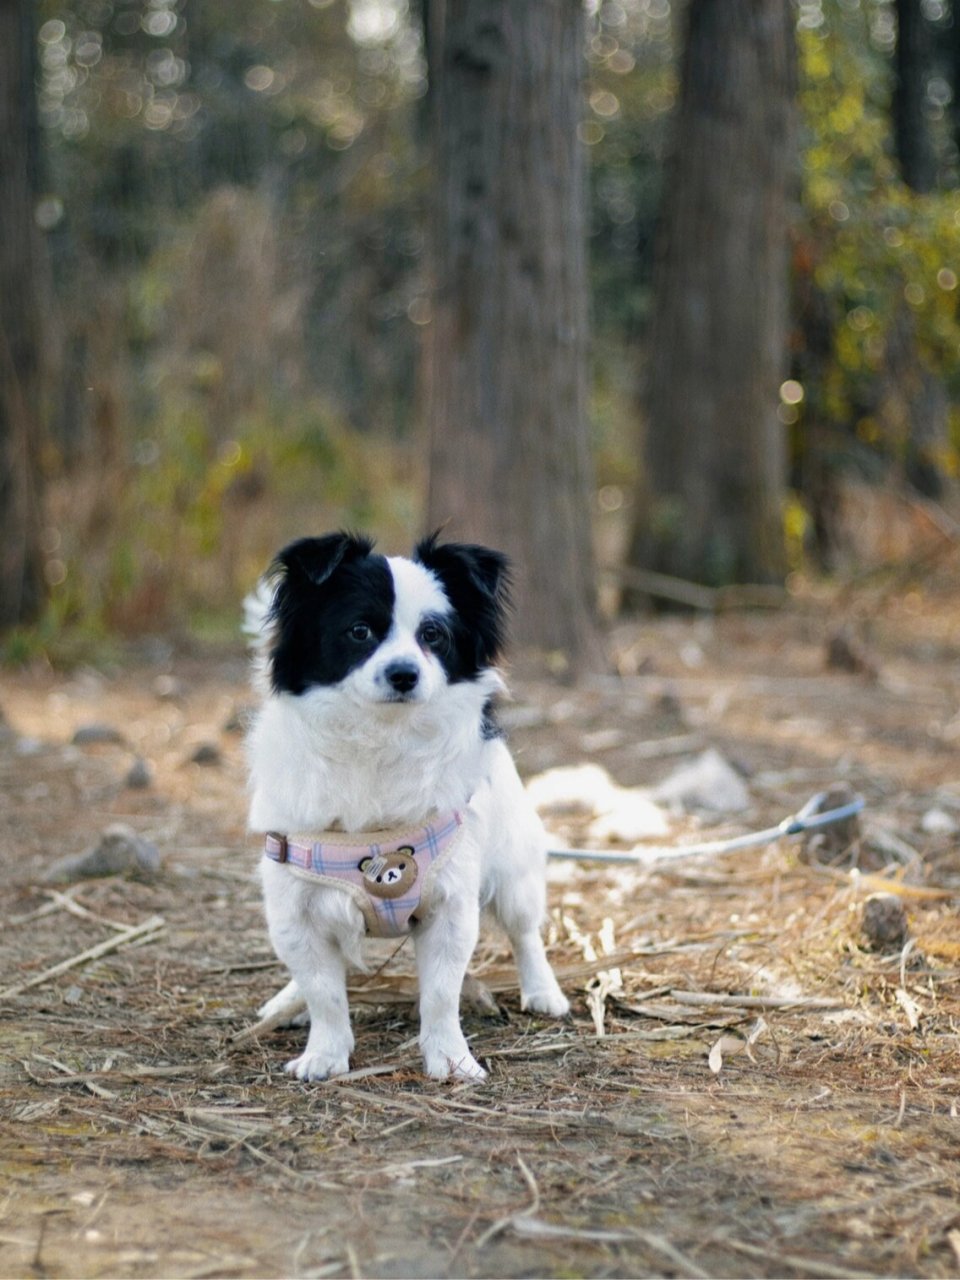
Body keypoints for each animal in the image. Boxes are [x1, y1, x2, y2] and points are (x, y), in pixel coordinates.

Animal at [244, 529, 570, 1080]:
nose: (404, 673)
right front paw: (325, 1054)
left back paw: (543, 991)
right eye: (359, 632)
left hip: (514, 875)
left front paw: (450, 1059)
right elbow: (324, 991)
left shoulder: (450, 908)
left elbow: (440, 994)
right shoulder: (295, 910)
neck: (380, 740)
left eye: (433, 636)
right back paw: (288, 1003)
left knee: (525, 933)